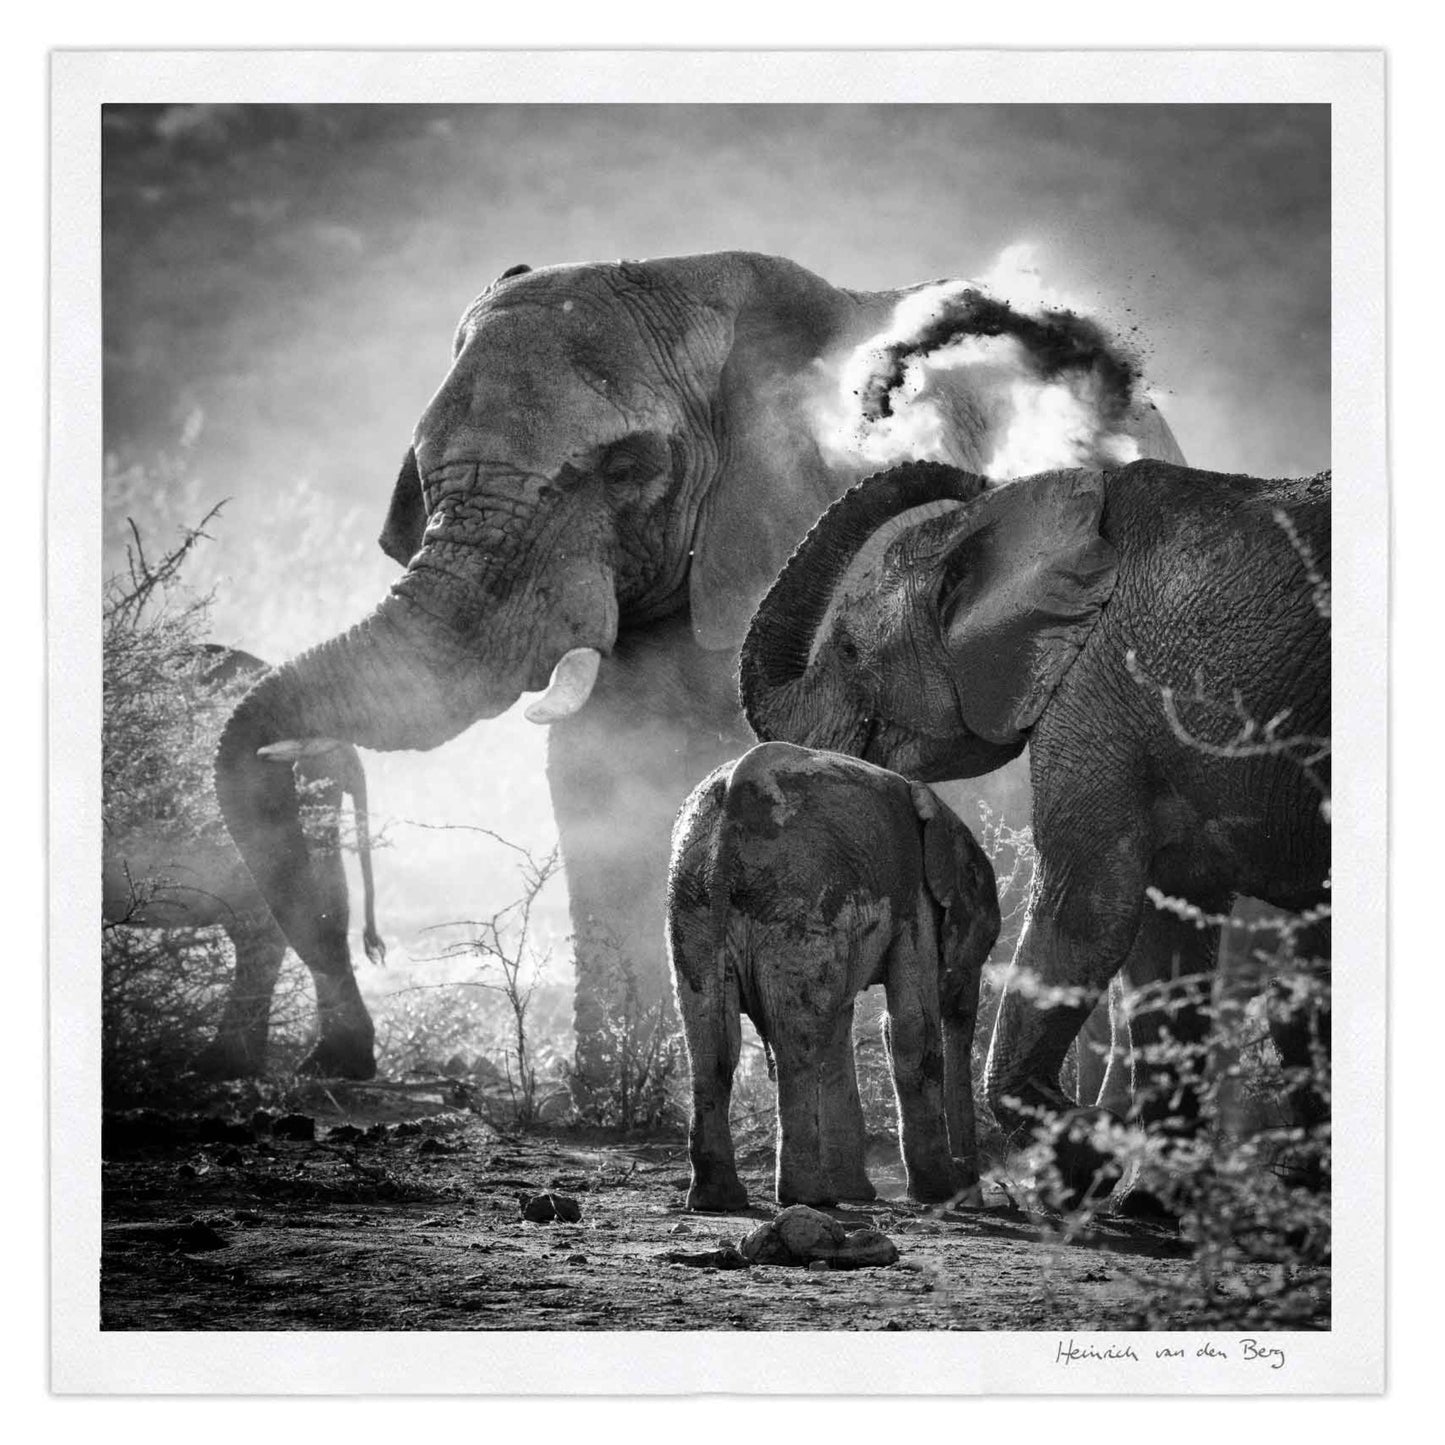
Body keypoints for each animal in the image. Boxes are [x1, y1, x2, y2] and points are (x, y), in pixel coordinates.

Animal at [667, 741, 999, 1210]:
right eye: (987, 945)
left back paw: (720, 1200)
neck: (939, 810)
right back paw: (807, 1198)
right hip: (798, 904)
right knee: (798, 1040)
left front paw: (859, 1193)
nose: (973, 1197)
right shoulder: (914, 901)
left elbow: (844, 1026)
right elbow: (913, 1030)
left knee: (712, 1043)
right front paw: (936, 1194)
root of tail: (729, 817)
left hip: (693, 908)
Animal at [738, 458, 1330, 1203]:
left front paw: (1081, 1159)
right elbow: (1167, 934)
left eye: (848, 649)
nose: (970, 476)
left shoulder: (1101, 686)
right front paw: (1144, 1200)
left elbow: (1087, 907)